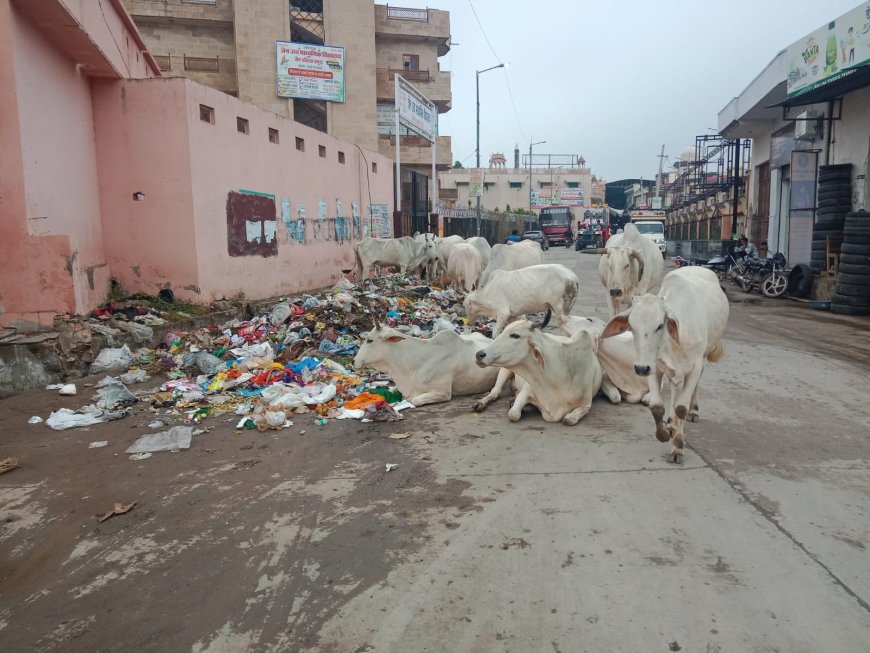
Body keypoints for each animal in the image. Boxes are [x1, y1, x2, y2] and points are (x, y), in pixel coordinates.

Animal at [604, 266, 732, 464]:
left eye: (659, 326)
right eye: (632, 327)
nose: (640, 368)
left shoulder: (694, 367)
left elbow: (682, 408)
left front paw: (678, 446)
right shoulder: (653, 366)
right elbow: (657, 407)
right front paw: (664, 433)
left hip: (703, 357)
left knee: (692, 390)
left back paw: (693, 411)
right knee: (674, 390)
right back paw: (671, 424)